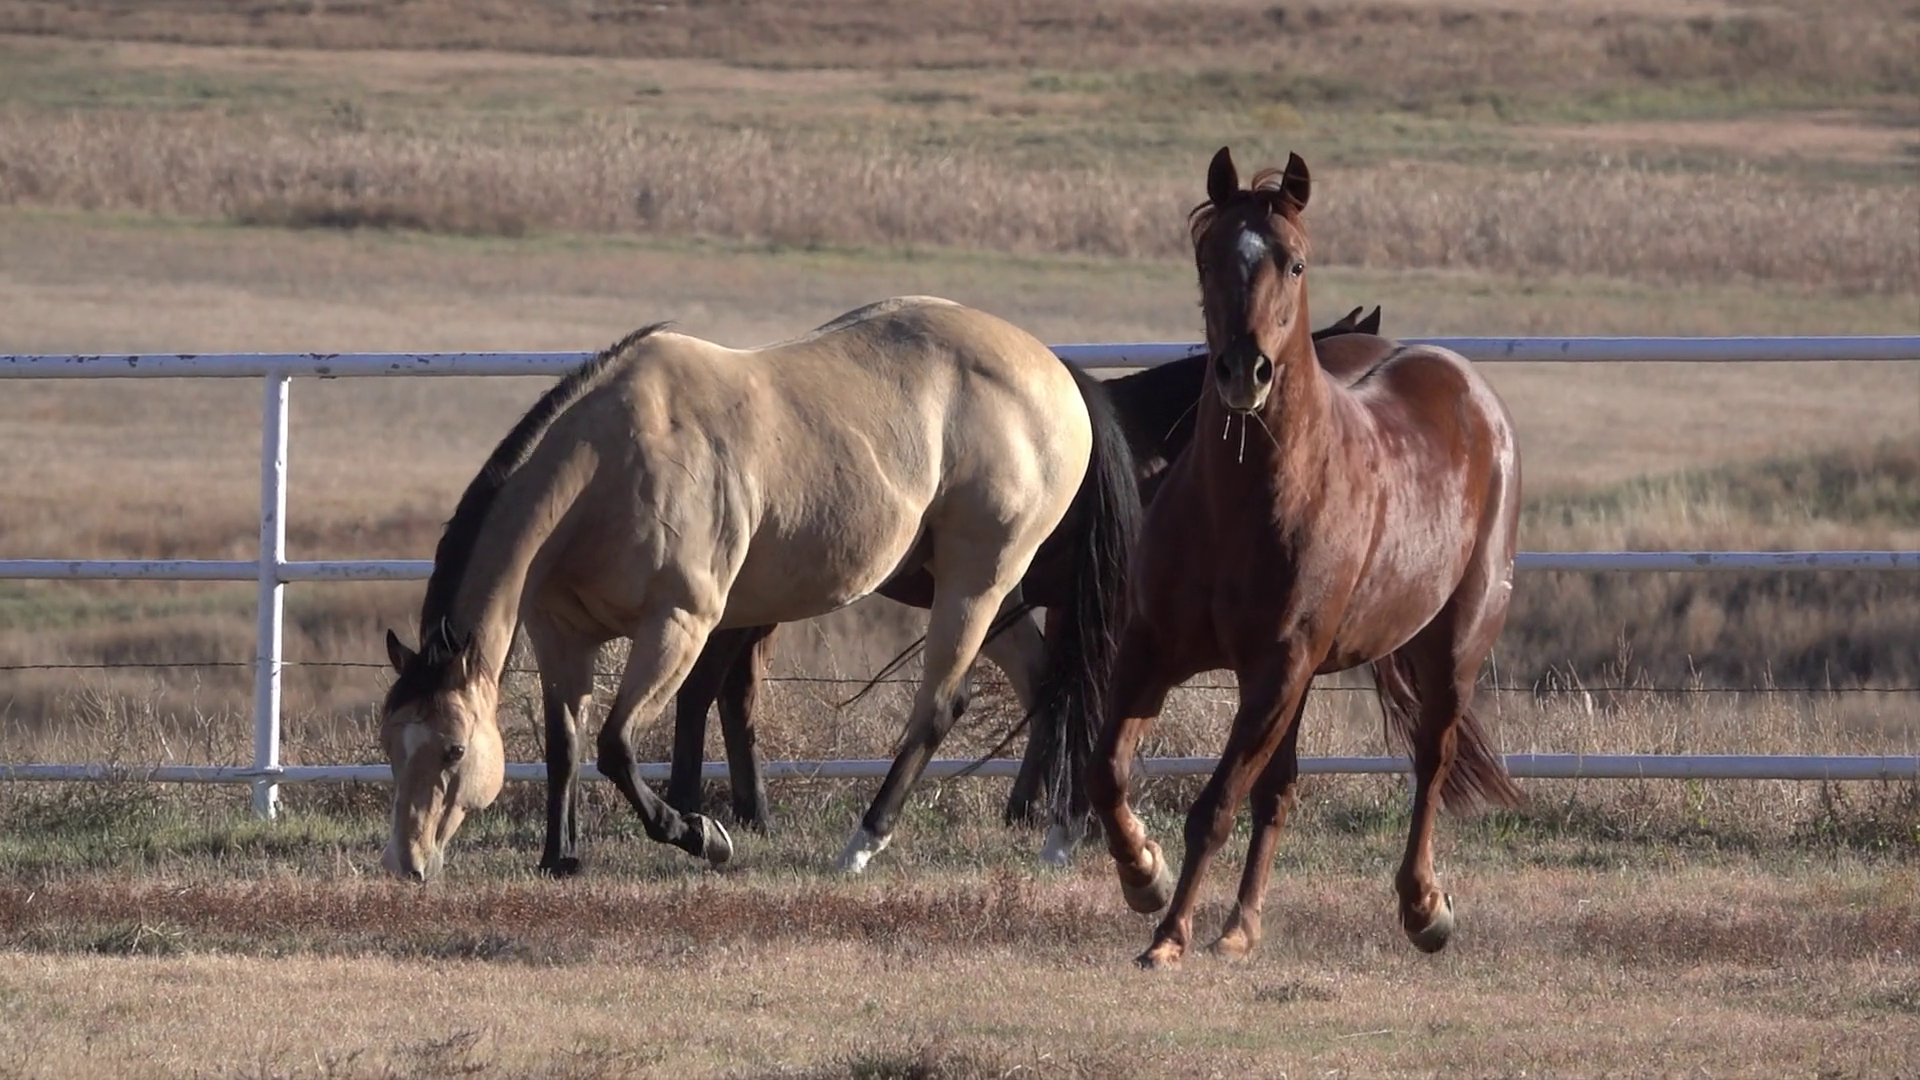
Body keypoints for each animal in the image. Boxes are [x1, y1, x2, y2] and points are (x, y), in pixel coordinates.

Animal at [378, 296, 1138, 882]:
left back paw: (862, 845)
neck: (614, 463)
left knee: (943, 706)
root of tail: (1055, 372)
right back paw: (1059, 836)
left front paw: (701, 834)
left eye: (452, 750)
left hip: (974, 581)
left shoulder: (679, 624)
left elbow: (616, 746)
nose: (406, 864)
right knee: (1052, 686)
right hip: (982, 589)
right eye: (391, 743)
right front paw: (559, 859)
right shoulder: (562, 637)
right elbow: (565, 747)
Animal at [663, 306, 1385, 835]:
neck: (1151, 452)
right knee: (712, 686)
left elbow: (1053, 688)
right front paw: (1063, 810)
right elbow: (1076, 690)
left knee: (733, 690)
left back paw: (746, 811)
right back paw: (700, 804)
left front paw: (1036, 807)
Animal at [1084, 147, 1523, 969]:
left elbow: (1216, 805)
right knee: (1281, 787)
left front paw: (1168, 936)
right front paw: (1144, 876)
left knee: (1432, 759)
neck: (1243, 505)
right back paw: (1240, 926)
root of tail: (1468, 387)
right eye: (1207, 255)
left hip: (1453, 646)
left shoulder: (1277, 668)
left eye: (1293, 261)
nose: (1243, 372)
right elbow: (1108, 772)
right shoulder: (1153, 648)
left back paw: (1424, 909)